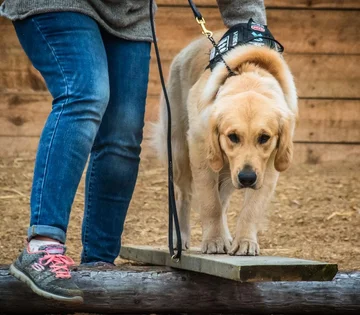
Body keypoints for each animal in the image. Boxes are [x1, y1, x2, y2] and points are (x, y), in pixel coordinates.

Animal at [150, 30, 296, 256]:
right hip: (180, 154)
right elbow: (211, 204)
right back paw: (179, 237)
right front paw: (214, 241)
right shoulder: (201, 152)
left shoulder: (269, 165)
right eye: (233, 136)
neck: (249, 80)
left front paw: (245, 242)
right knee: (184, 195)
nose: (247, 178)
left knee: (224, 201)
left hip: (228, 172)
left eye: (264, 137)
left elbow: (251, 208)